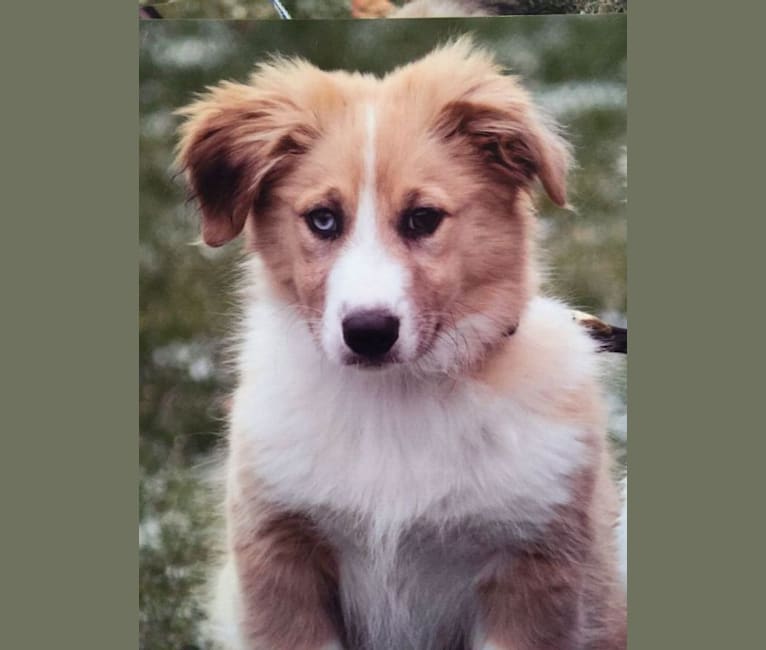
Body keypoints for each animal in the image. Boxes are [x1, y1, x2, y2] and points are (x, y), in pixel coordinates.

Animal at [177, 39, 628, 648]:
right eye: (323, 220)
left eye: (422, 218)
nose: (368, 333)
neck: (396, 397)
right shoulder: (279, 557)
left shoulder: (532, 573)